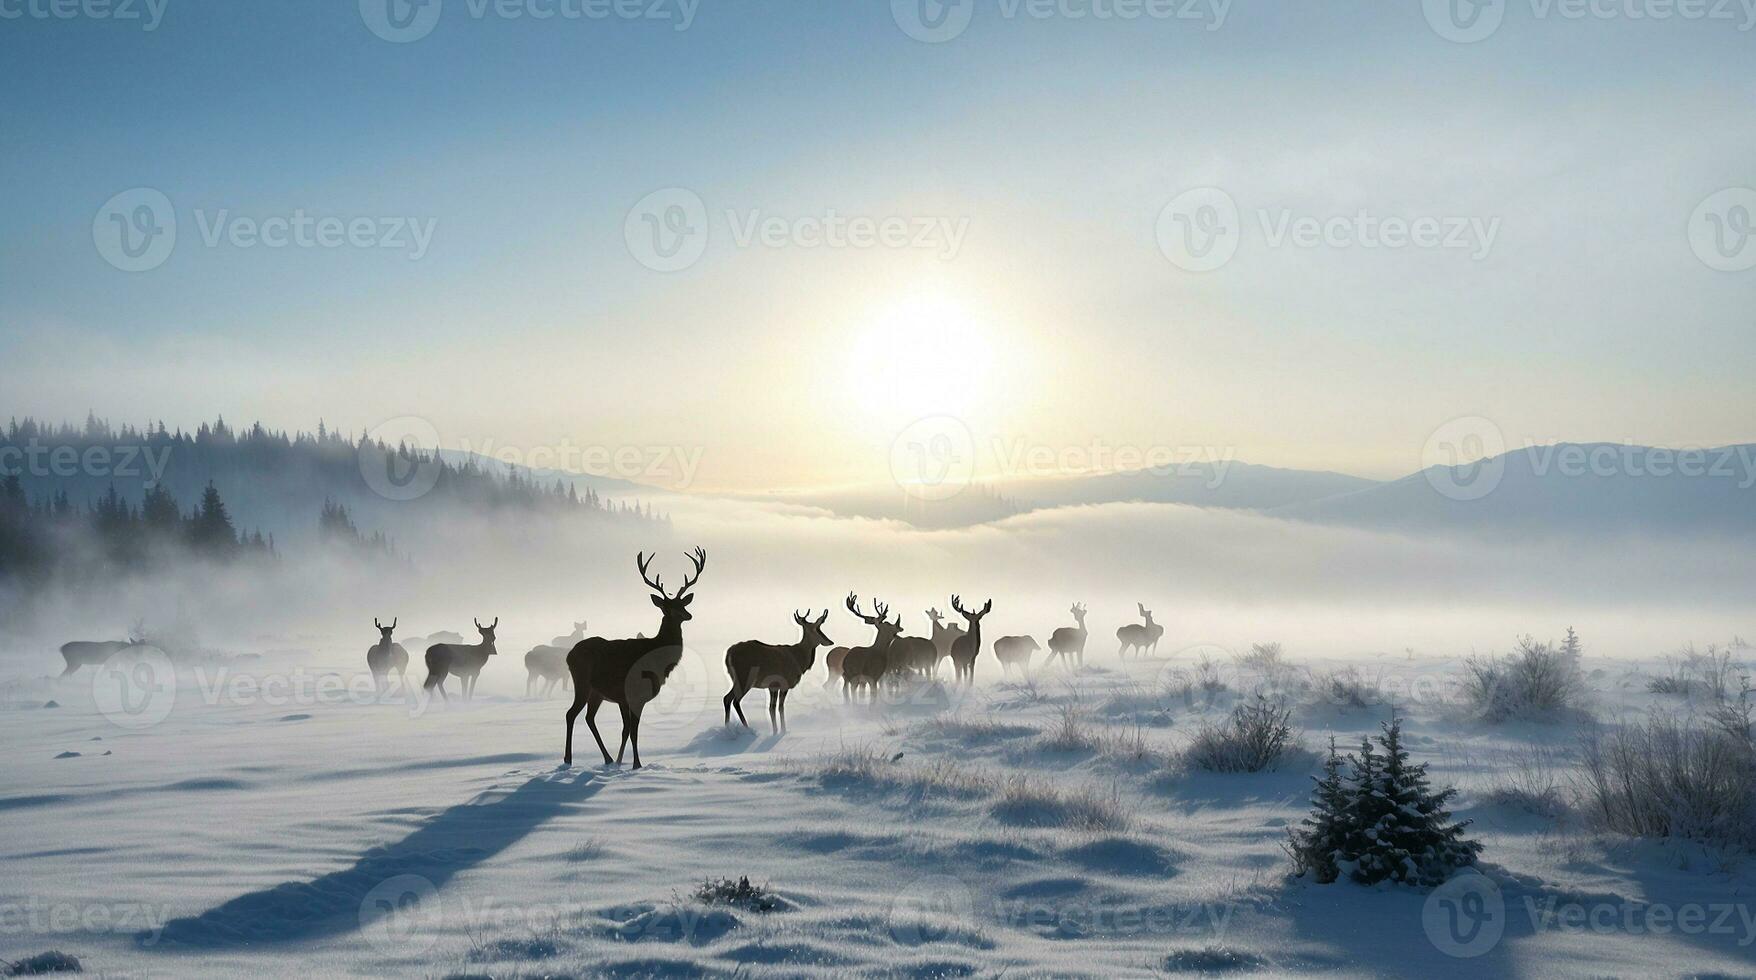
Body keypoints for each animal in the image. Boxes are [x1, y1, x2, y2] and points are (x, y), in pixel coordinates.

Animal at [561, 547, 698, 772]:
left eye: (681, 604)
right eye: (666, 607)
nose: (688, 615)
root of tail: (568, 655)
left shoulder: (624, 698)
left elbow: (626, 730)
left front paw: (620, 761)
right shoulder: (634, 694)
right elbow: (633, 730)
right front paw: (636, 764)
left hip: (597, 692)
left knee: (589, 718)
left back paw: (607, 758)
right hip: (581, 682)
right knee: (570, 714)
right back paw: (568, 759)